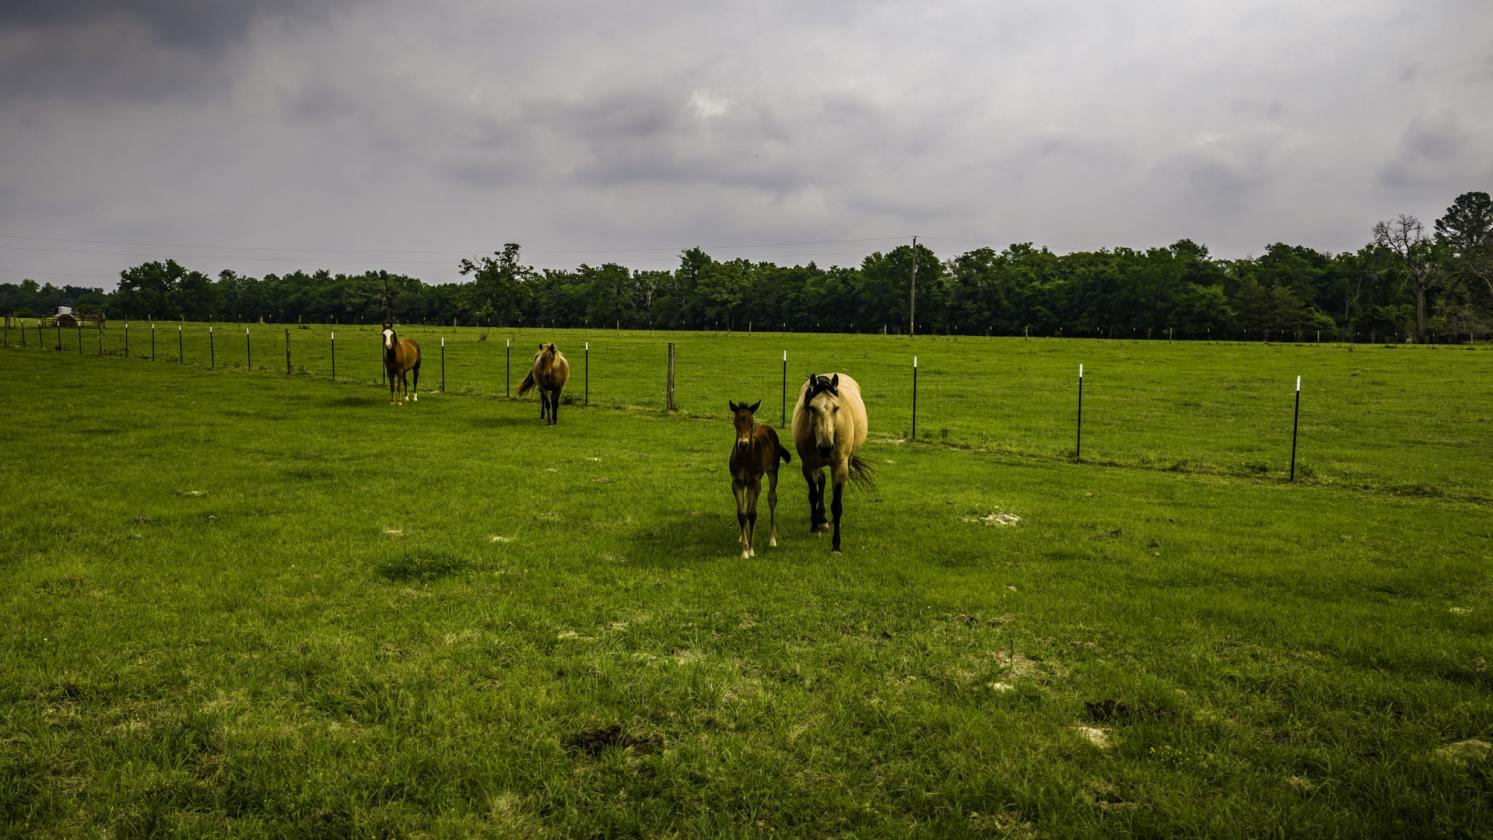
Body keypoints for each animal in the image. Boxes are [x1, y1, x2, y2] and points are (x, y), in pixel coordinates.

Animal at [728, 400, 792, 558]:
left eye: (751, 423)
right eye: (735, 423)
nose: (743, 444)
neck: (745, 458)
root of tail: (768, 427)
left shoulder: (755, 481)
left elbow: (752, 513)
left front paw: (751, 549)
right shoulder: (737, 482)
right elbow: (742, 513)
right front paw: (744, 550)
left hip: (773, 471)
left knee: (772, 498)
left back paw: (772, 539)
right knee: (747, 504)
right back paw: (742, 536)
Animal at [791, 373, 873, 552]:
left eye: (836, 408)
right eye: (812, 408)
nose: (826, 447)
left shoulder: (840, 467)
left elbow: (837, 505)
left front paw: (836, 545)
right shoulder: (808, 466)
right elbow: (813, 495)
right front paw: (815, 527)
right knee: (821, 481)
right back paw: (821, 519)